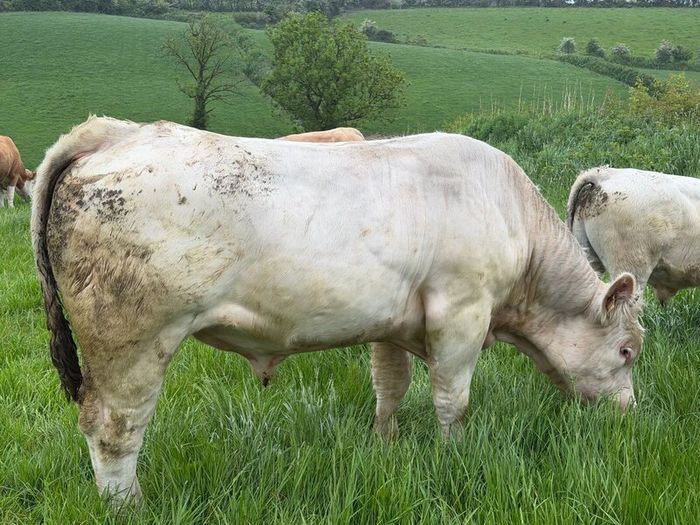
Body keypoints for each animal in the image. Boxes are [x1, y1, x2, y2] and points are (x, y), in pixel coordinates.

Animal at [33, 117, 643, 505]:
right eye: (626, 350)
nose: (629, 417)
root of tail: (117, 131)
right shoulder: (461, 312)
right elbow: (453, 400)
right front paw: (454, 456)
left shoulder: (393, 321)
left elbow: (391, 385)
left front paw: (383, 445)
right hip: (131, 338)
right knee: (114, 427)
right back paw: (128, 505)